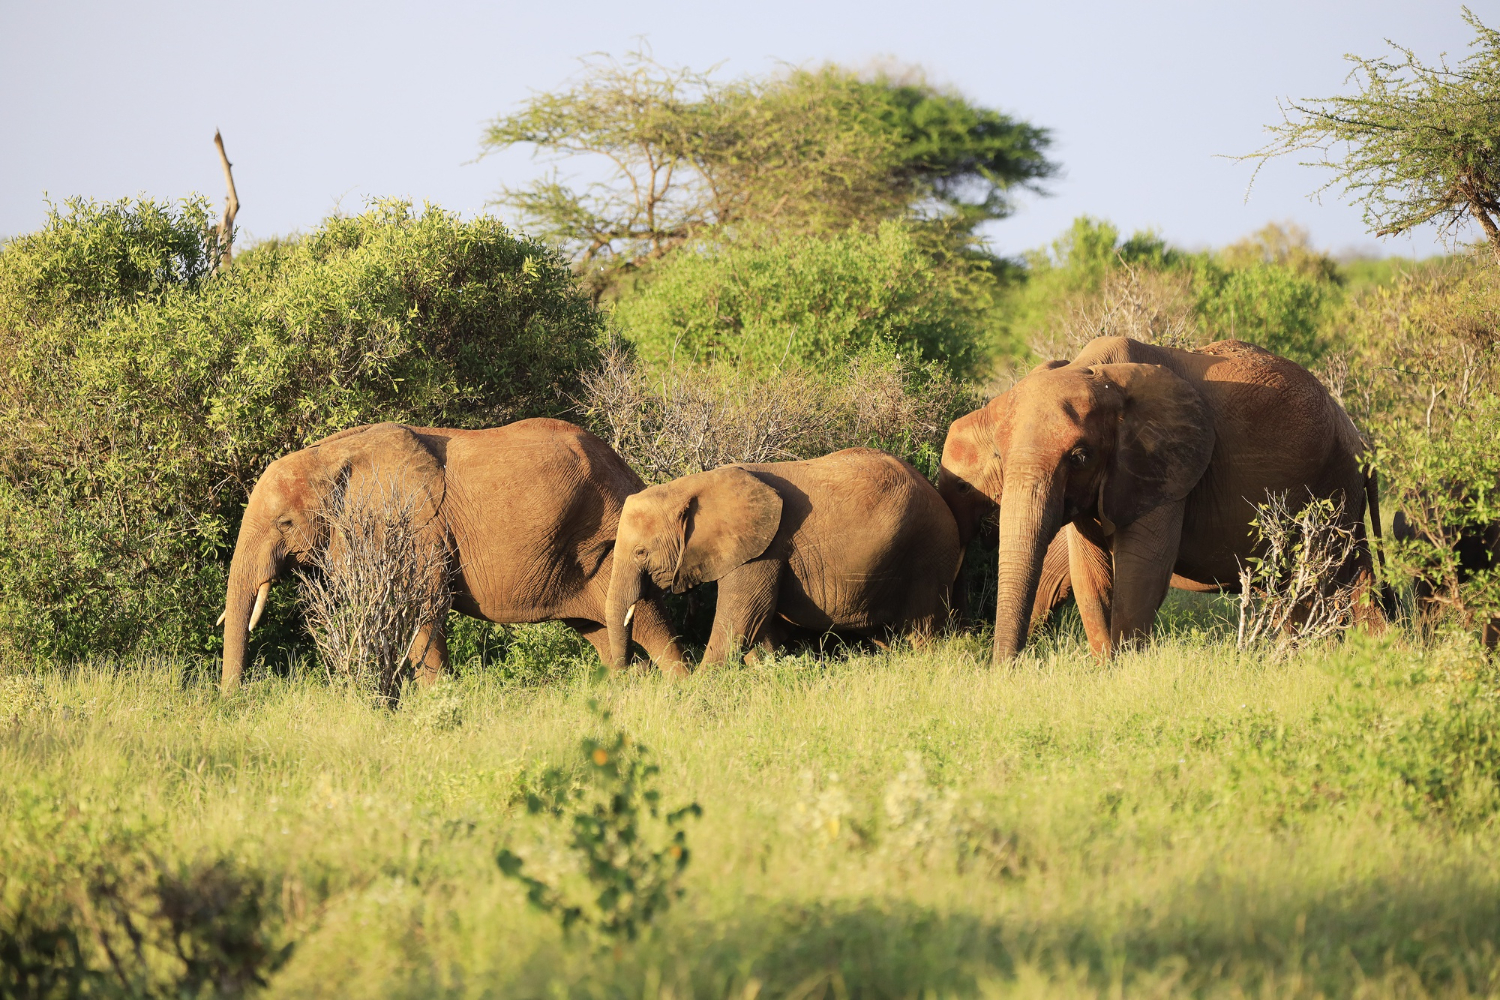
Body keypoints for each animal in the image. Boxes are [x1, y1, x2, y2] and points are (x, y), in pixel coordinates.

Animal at [217, 419, 687, 692]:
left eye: (284, 523)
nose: (235, 702)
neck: (330, 455)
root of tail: (628, 468)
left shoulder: (417, 527)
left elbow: (420, 606)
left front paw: (437, 702)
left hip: (615, 540)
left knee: (646, 620)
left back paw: (680, 692)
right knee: (603, 630)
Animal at [606, 449, 960, 668]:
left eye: (640, 552)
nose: (630, 672)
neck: (689, 486)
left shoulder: (766, 547)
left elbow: (742, 621)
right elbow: (760, 627)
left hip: (929, 551)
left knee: (924, 632)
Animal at [936, 335, 1380, 665]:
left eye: (1079, 457)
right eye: (999, 457)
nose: (1003, 671)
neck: (1098, 372)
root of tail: (1359, 435)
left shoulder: (1163, 467)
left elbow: (1142, 569)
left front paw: (1123, 673)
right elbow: (1090, 573)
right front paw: (1105, 668)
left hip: (1333, 487)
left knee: (1320, 583)